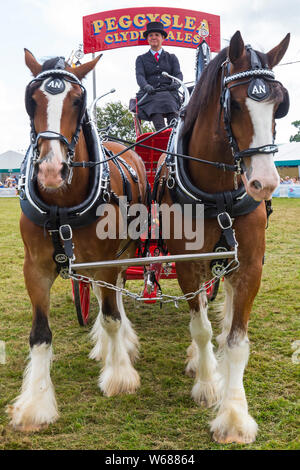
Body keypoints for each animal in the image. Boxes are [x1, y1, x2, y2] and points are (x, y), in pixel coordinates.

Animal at [6, 50, 148, 430]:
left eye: (77, 100)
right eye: (32, 99)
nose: (51, 170)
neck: (62, 207)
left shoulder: (106, 259)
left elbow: (112, 315)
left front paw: (119, 375)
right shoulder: (35, 268)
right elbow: (40, 334)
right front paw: (36, 402)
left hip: (127, 250)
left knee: (115, 296)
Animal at [155, 31, 288, 442]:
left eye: (280, 104)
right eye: (236, 105)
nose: (265, 183)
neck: (219, 195)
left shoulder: (250, 266)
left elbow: (237, 340)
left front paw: (234, 414)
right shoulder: (188, 266)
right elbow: (200, 328)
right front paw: (208, 383)